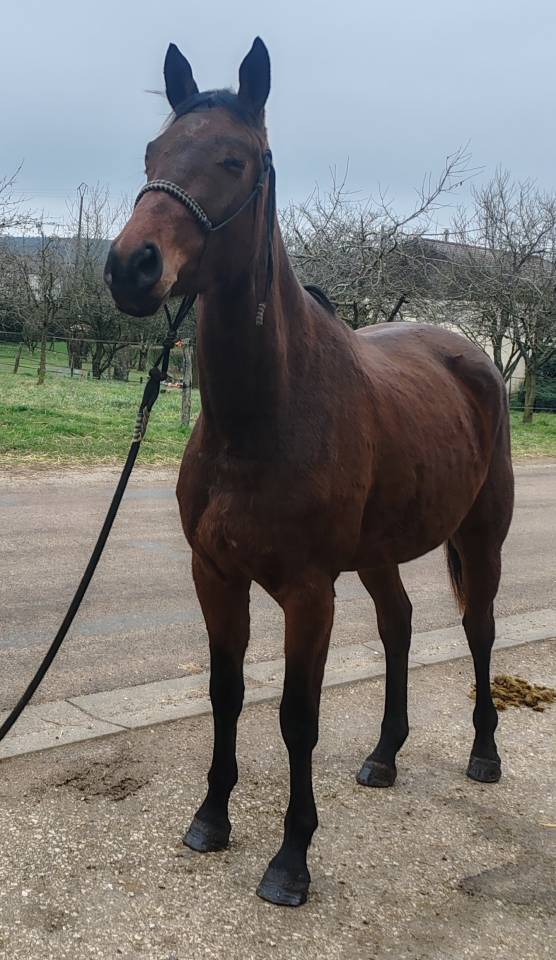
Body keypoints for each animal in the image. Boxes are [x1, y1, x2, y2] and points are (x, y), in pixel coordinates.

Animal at [104, 38, 514, 907]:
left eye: (235, 159)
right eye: (153, 153)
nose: (130, 267)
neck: (265, 414)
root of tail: (469, 353)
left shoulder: (307, 592)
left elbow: (298, 716)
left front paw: (291, 860)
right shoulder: (215, 575)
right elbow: (226, 694)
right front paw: (211, 819)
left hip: (481, 538)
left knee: (479, 629)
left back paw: (484, 753)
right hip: (381, 554)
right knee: (399, 625)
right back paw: (386, 755)